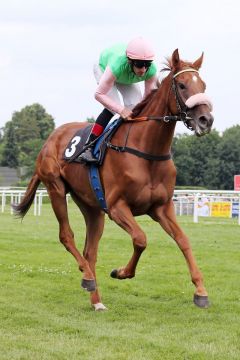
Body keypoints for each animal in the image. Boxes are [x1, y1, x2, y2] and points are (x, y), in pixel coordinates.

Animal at [13, 49, 213, 310]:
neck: (147, 152)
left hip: (92, 207)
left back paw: (96, 300)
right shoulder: (117, 207)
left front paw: (201, 291)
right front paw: (121, 272)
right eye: (181, 85)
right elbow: (141, 239)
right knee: (67, 236)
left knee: (90, 251)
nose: (206, 120)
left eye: (203, 85)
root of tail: (50, 139)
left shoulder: (162, 207)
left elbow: (184, 240)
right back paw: (87, 277)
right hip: (55, 188)